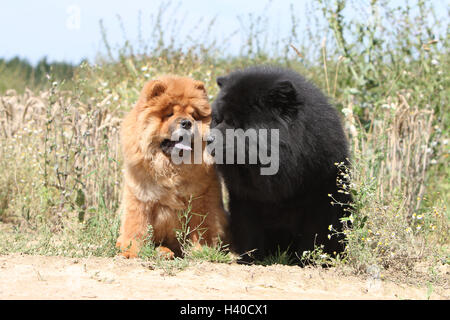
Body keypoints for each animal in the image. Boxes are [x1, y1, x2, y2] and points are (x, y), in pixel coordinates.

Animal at [209, 64, 354, 262]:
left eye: (235, 123)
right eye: (217, 119)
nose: (208, 139)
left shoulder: (320, 192)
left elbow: (316, 232)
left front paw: (306, 260)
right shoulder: (246, 197)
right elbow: (249, 228)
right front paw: (249, 259)